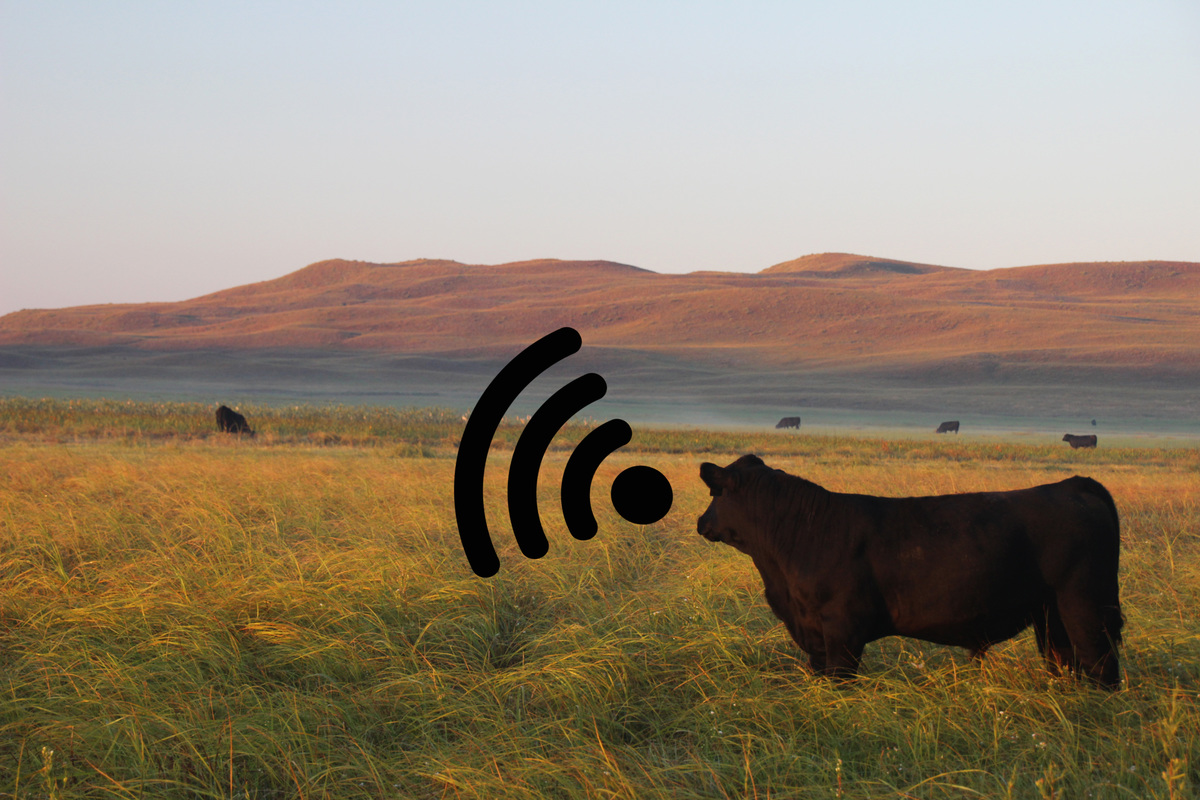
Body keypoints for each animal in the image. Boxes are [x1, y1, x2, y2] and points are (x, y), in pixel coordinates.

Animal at [697, 454, 1123, 688]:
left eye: (715, 493)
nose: (701, 522)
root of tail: (1073, 484)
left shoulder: (842, 631)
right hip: (1050, 615)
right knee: (1065, 661)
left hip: (1085, 605)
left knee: (1101, 664)